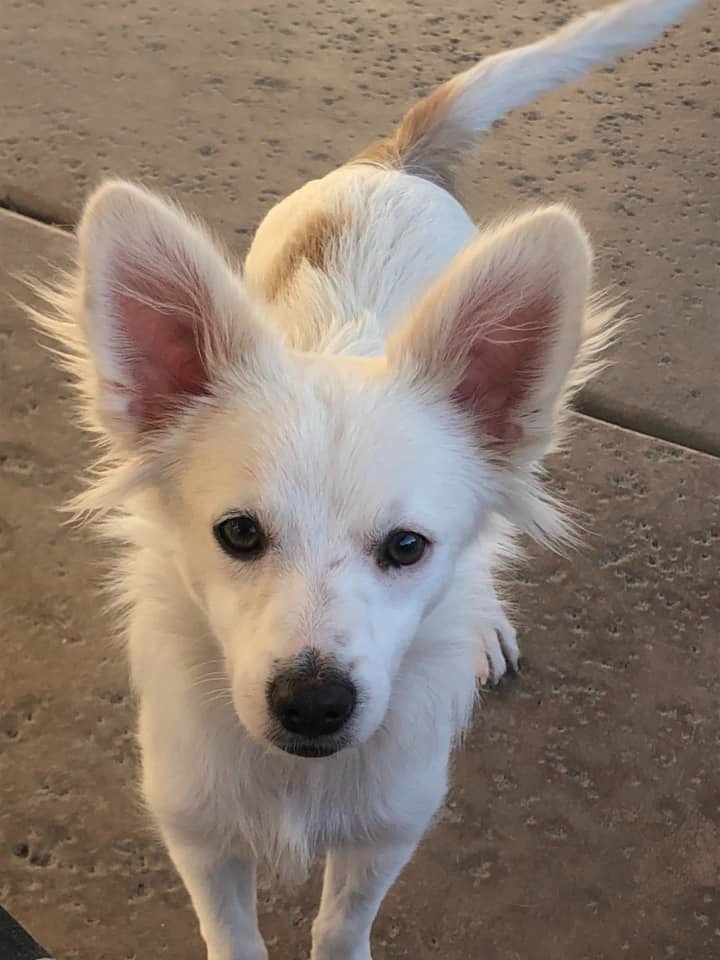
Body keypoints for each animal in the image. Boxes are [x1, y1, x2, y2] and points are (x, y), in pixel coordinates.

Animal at [32, 0, 696, 956]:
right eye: (238, 534)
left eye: (407, 547)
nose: (314, 703)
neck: (295, 780)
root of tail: (391, 163)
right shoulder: (198, 833)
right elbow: (234, 935)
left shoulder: (385, 835)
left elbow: (340, 927)